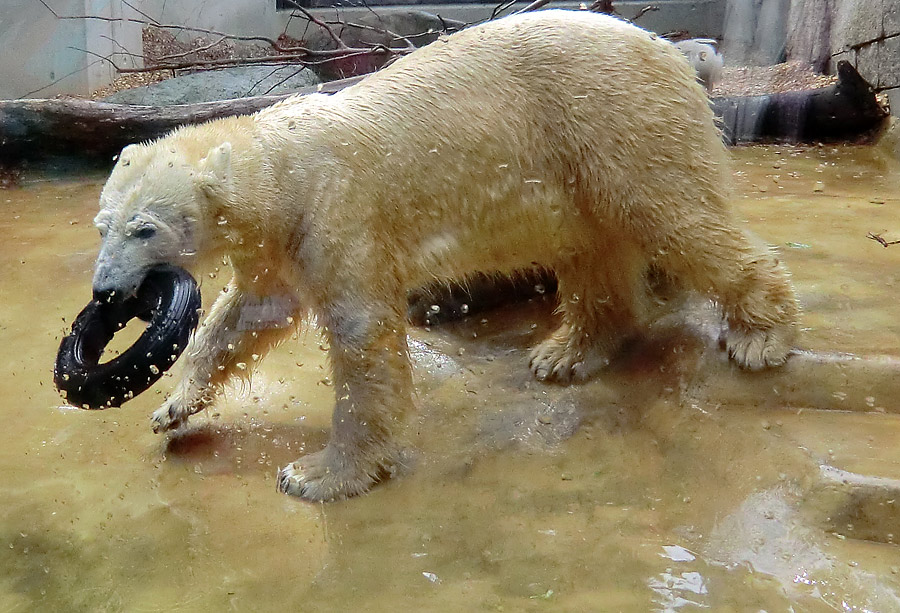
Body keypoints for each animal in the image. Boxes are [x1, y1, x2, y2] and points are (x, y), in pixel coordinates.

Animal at [89, 9, 796, 500]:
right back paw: (567, 353)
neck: (280, 167)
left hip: (616, 117)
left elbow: (361, 336)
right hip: (576, 164)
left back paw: (760, 334)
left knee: (674, 215)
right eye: (103, 226)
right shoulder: (279, 243)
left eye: (145, 229)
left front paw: (318, 473)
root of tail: (672, 47)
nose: (106, 292)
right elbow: (251, 315)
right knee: (593, 248)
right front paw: (172, 406)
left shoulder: (335, 211)